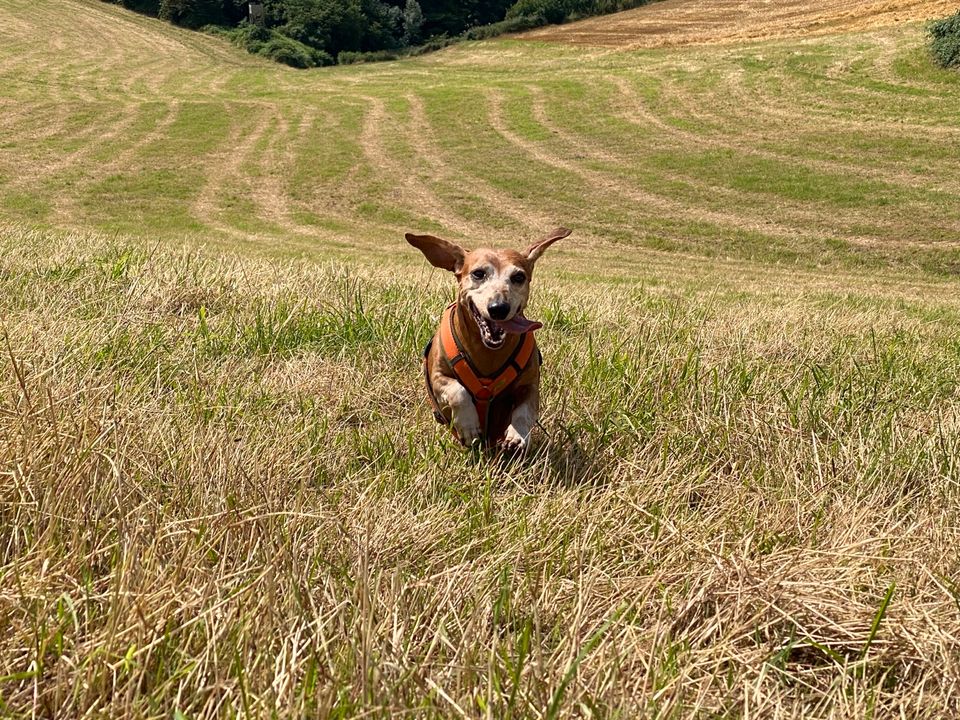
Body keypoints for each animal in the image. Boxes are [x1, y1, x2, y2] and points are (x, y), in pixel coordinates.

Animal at [404, 226, 568, 450]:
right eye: (478, 274)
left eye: (519, 277)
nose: (499, 308)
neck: (488, 353)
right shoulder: (438, 376)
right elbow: (458, 392)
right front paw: (469, 426)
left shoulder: (530, 384)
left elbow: (525, 410)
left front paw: (517, 435)